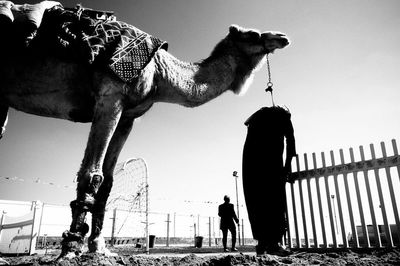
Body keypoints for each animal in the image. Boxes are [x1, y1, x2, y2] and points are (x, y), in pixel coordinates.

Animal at [0, 5, 288, 256]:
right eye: (252, 34)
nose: (282, 37)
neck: (160, 72)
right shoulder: (110, 96)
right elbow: (92, 173)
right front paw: (71, 248)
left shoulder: (128, 115)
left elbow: (108, 180)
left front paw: (99, 248)